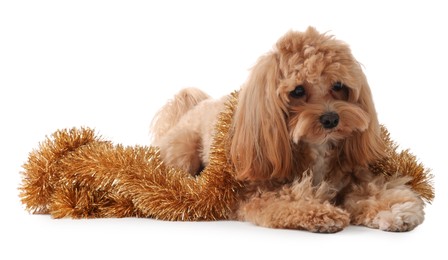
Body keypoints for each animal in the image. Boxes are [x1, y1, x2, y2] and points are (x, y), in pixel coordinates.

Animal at [150, 27, 424, 233]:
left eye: (338, 85)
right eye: (298, 91)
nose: (331, 119)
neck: (316, 148)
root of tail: (194, 106)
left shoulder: (350, 178)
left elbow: (371, 191)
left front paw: (394, 209)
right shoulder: (257, 192)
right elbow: (285, 199)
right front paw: (320, 212)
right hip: (183, 152)